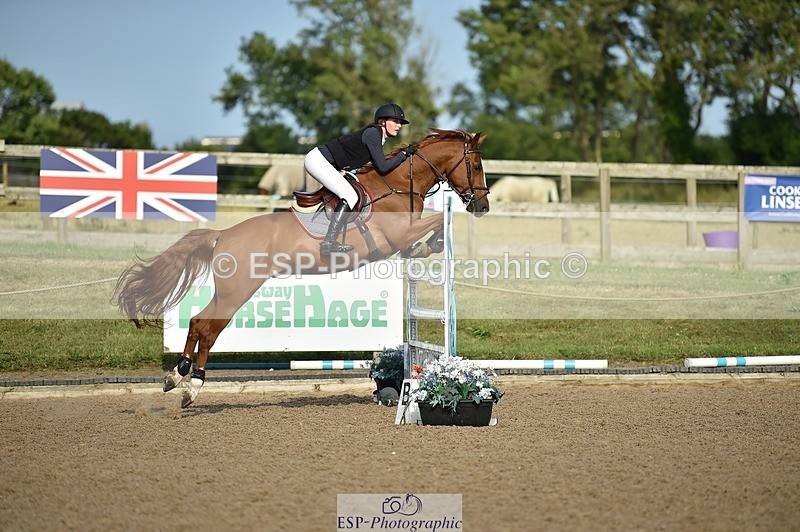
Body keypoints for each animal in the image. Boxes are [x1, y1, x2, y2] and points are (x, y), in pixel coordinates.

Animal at [114, 129, 489, 407]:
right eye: (476, 166)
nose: (482, 206)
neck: (397, 183)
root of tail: (222, 235)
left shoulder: (402, 242)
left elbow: (422, 241)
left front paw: (432, 245)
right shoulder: (398, 236)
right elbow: (439, 219)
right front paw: (438, 239)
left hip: (228, 291)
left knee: (196, 321)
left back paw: (176, 375)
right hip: (237, 292)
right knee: (208, 330)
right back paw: (192, 387)